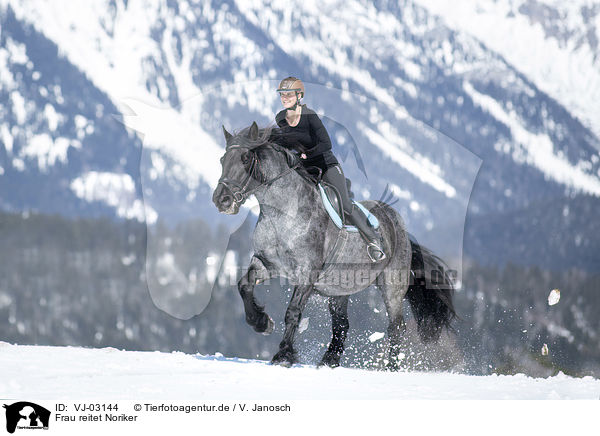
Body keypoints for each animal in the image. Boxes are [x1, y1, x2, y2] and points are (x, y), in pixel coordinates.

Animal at [211, 122, 454, 368]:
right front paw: (261, 322)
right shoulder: (266, 263)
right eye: (222, 159)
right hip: (339, 288)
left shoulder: (307, 273)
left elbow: (293, 312)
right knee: (341, 325)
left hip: (392, 285)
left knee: (396, 326)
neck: (283, 212)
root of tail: (399, 225)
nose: (221, 200)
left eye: (245, 158)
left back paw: (391, 367)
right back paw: (329, 360)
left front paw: (284, 355)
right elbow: (244, 285)